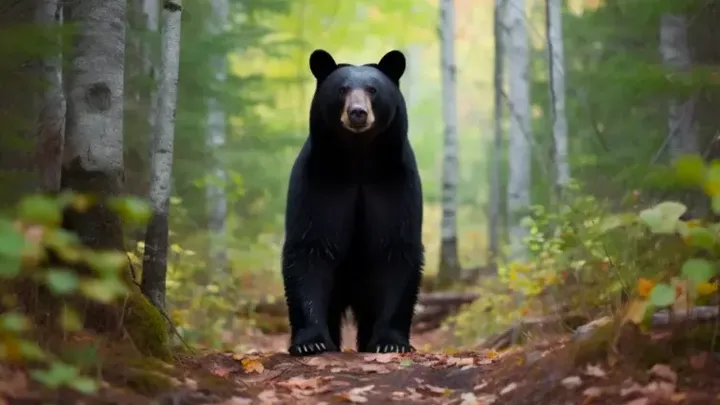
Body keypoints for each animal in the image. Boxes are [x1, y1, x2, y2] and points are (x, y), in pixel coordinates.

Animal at [281, 49, 424, 356]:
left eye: (372, 89)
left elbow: (396, 250)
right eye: (342, 89)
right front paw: (311, 342)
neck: (358, 161)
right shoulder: (320, 183)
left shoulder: (393, 183)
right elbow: (310, 248)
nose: (357, 112)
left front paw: (390, 342)